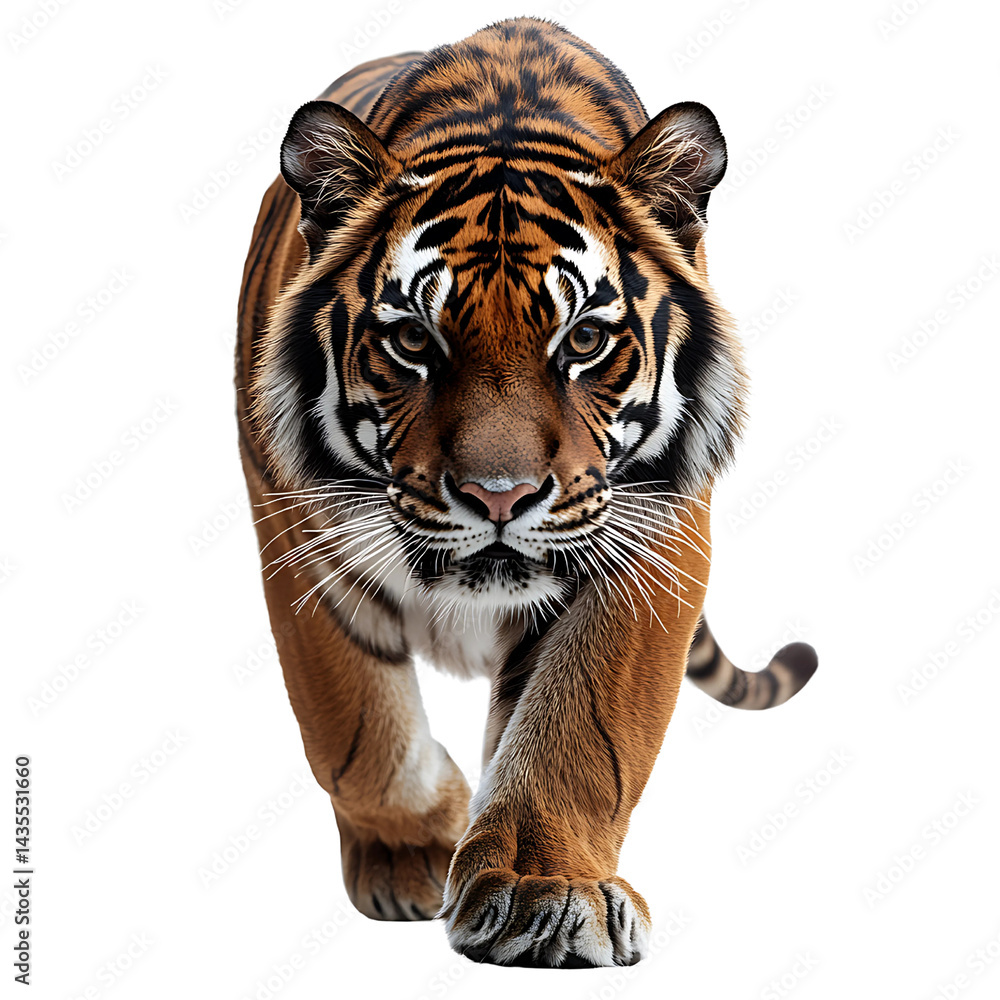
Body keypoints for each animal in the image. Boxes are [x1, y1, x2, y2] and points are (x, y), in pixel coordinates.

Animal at [236, 17, 817, 968]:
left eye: (582, 340)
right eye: (411, 341)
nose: (499, 497)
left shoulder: (654, 535)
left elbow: (585, 723)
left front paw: (545, 891)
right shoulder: (298, 530)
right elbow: (353, 722)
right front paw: (414, 850)